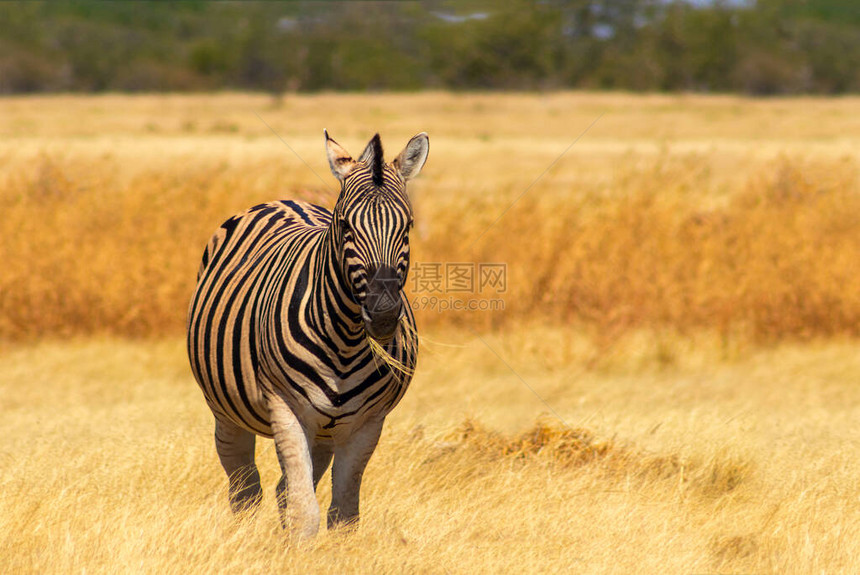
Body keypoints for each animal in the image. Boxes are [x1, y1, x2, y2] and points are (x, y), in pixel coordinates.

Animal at [188, 132, 430, 540]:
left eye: (407, 226)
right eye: (345, 226)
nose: (383, 315)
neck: (346, 340)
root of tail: (287, 200)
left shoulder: (368, 423)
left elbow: (343, 515)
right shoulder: (286, 408)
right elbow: (306, 513)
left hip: (326, 430)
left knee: (282, 490)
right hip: (226, 410)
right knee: (244, 486)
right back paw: (242, 537)